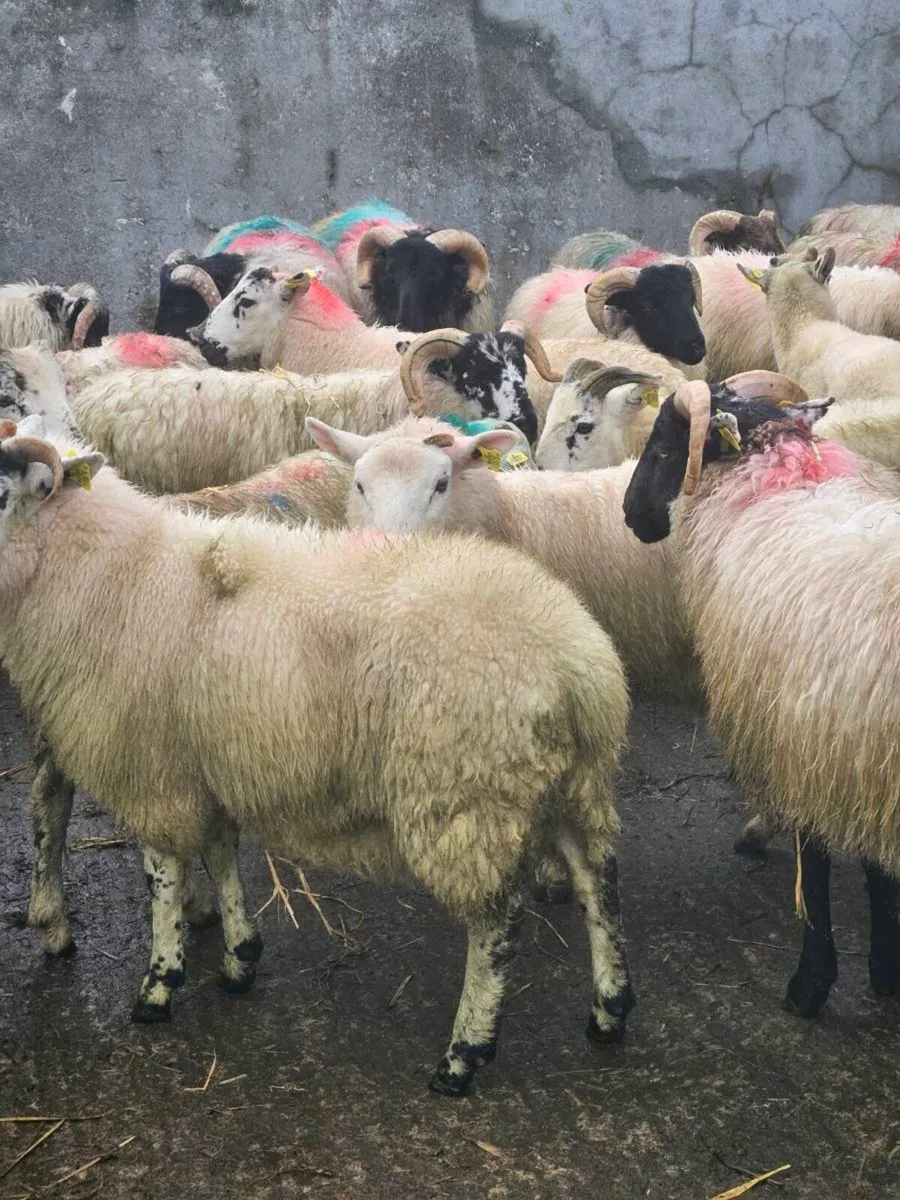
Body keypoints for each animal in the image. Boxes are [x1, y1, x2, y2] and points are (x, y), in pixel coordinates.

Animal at [0, 425, 631, 1096]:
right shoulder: (209, 758)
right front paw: (239, 959)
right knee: (598, 880)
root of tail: (576, 661)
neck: (115, 573)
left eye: (10, 493)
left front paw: (159, 984)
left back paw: (465, 1053)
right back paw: (609, 1009)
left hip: (468, 794)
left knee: (496, 925)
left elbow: (161, 877)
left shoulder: (154, 769)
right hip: (570, 781)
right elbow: (221, 852)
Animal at [623, 377, 900, 1017]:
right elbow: (877, 870)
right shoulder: (860, 755)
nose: (629, 514)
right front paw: (885, 969)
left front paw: (810, 983)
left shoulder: (805, 731)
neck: (780, 478)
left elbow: (816, 865)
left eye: (668, 449)